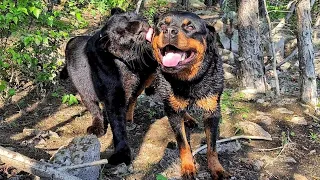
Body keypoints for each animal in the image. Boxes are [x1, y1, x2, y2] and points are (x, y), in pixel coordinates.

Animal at [64, 8, 158, 166]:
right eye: (122, 33)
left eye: (130, 16)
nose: (140, 27)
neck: (129, 64)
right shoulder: (114, 98)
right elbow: (117, 126)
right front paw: (122, 154)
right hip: (85, 93)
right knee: (95, 110)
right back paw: (97, 128)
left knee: (133, 99)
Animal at [152, 11, 230, 179]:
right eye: (162, 24)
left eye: (190, 27)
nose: (168, 31)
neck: (189, 81)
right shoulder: (173, 112)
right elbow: (183, 143)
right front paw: (188, 167)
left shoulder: (212, 111)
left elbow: (212, 146)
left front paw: (216, 168)